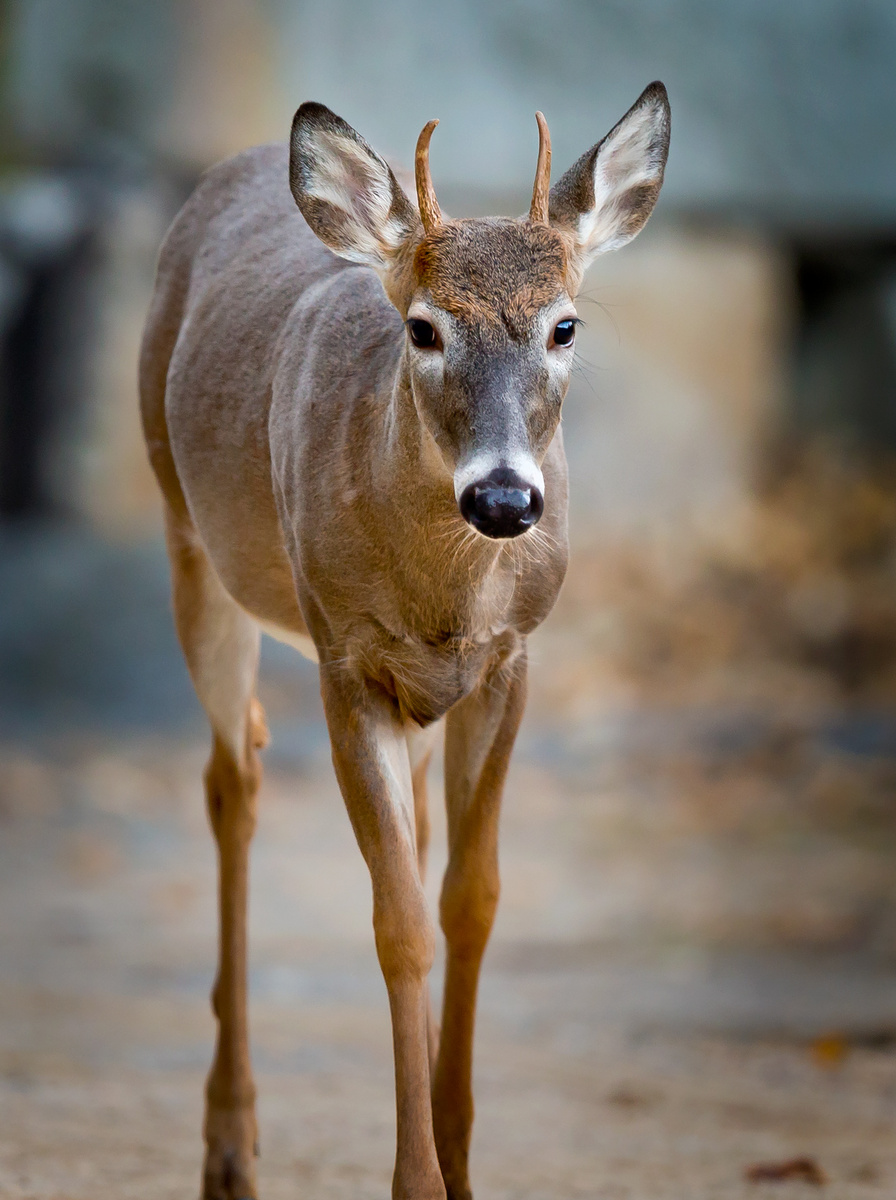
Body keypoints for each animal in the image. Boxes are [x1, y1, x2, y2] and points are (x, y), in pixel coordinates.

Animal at [140, 79, 671, 1195]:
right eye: (423, 329)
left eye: (563, 325)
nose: (505, 497)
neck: (443, 597)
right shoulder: (347, 662)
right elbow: (398, 927)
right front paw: (417, 1177)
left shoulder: (509, 660)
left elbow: (469, 901)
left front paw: (461, 1159)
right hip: (190, 541)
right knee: (233, 778)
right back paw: (229, 1143)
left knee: (404, 829)